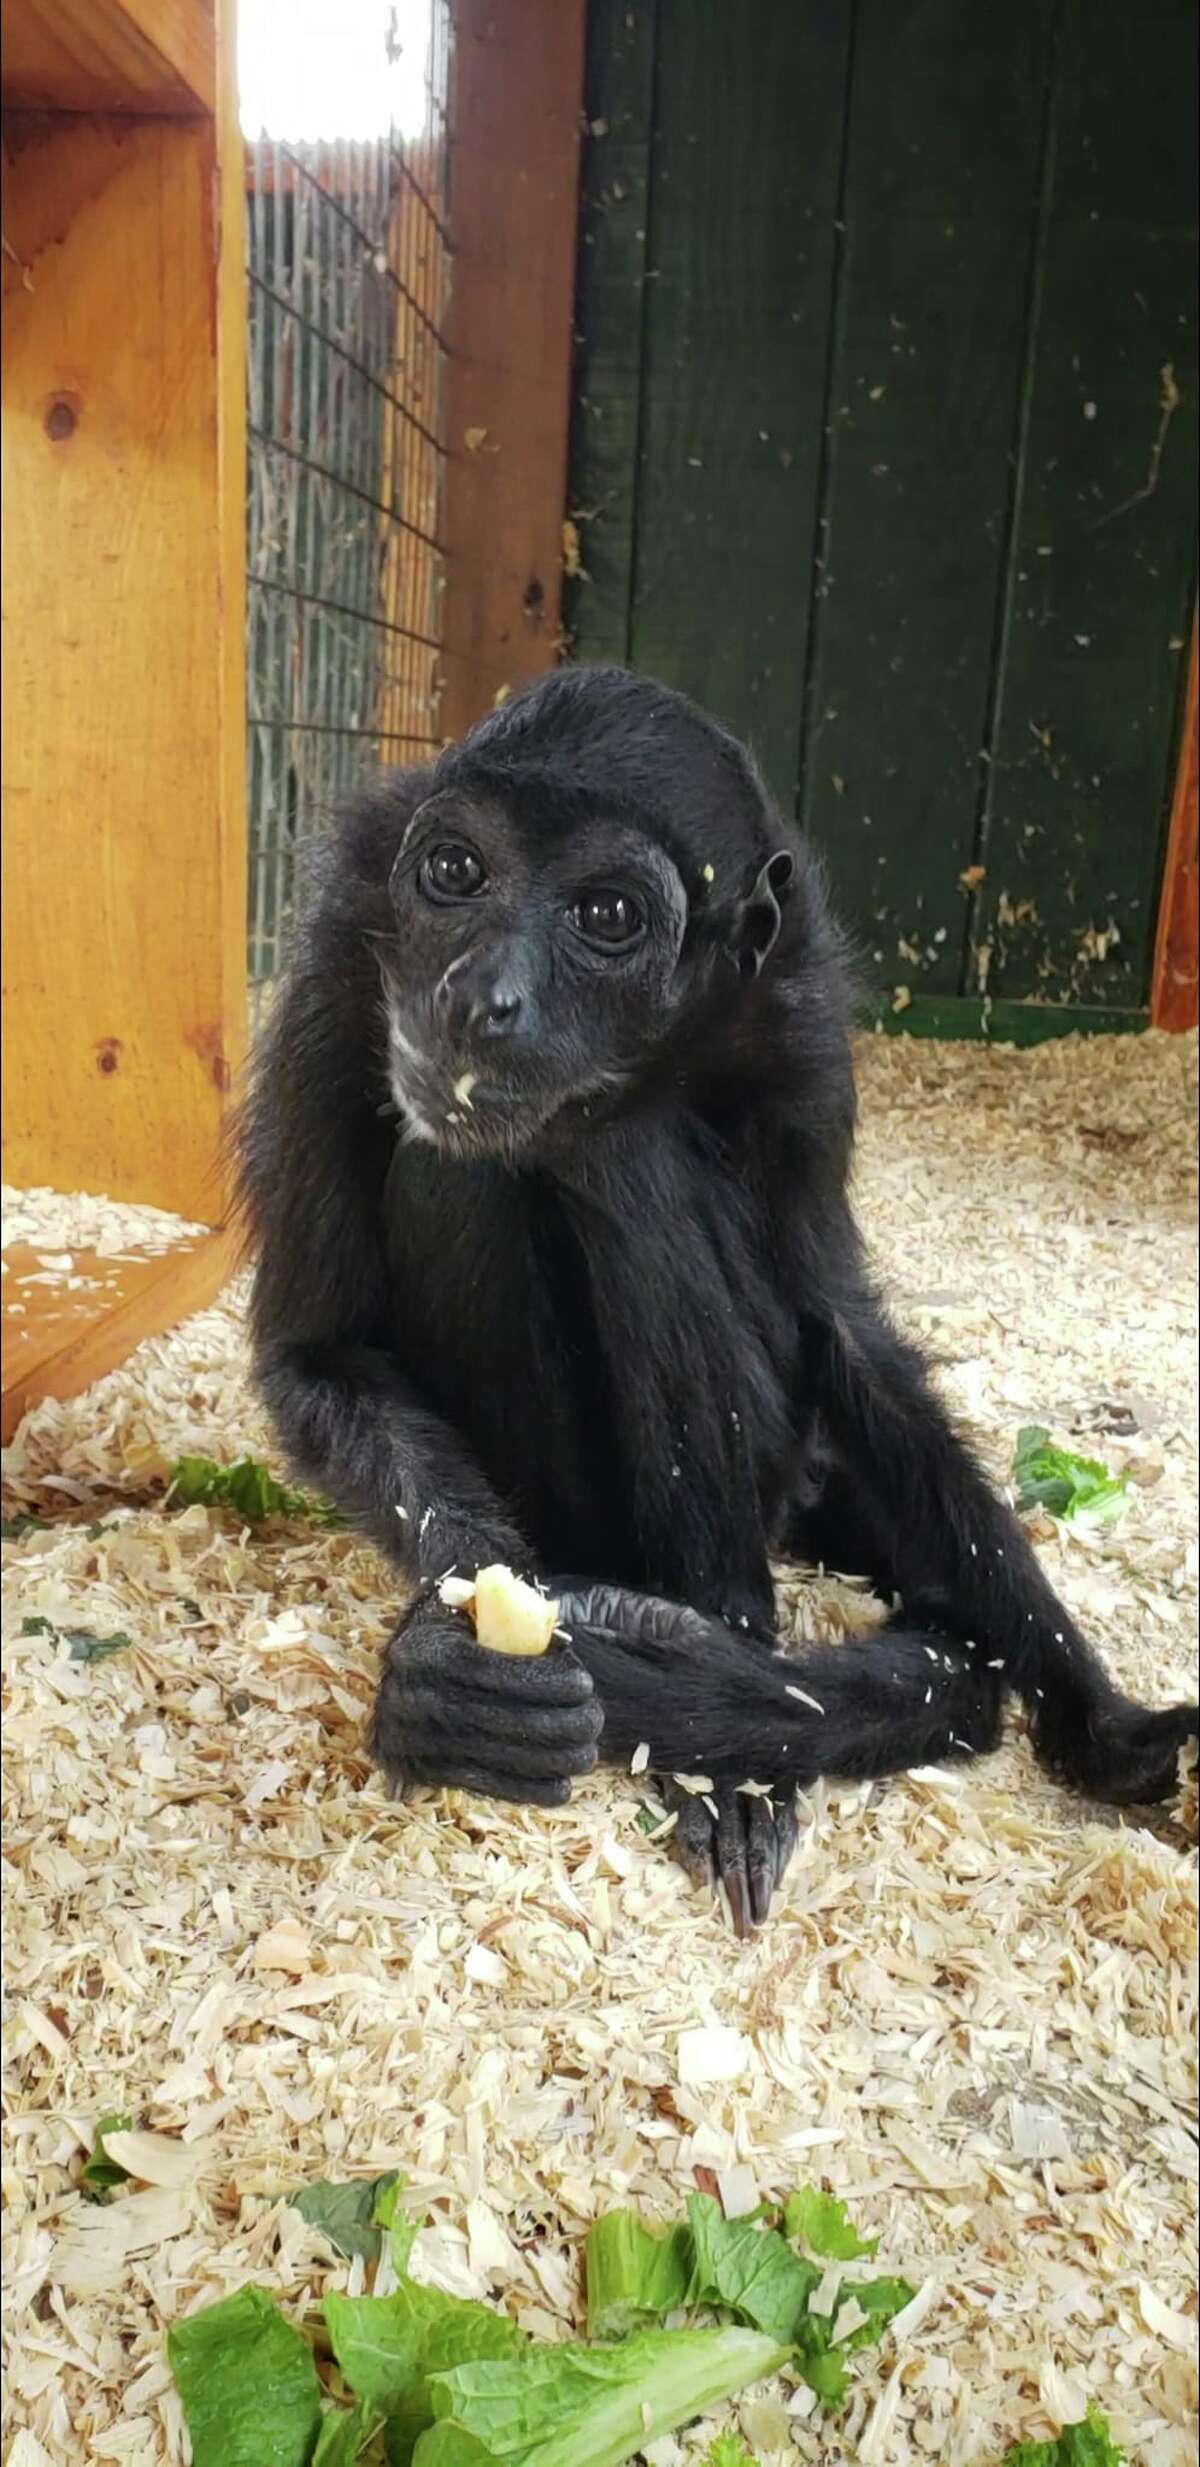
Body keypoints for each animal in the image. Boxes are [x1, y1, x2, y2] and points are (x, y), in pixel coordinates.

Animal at [239, 666, 1195, 1934]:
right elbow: (319, 1347)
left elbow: (844, 1332)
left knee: (623, 1161)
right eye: (454, 871)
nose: (482, 995)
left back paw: (726, 1737)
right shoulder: (347, 937)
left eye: (607, 917)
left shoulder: (802, 1012)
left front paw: (1100, 1720)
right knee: (490, 1165)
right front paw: (461, 1660)